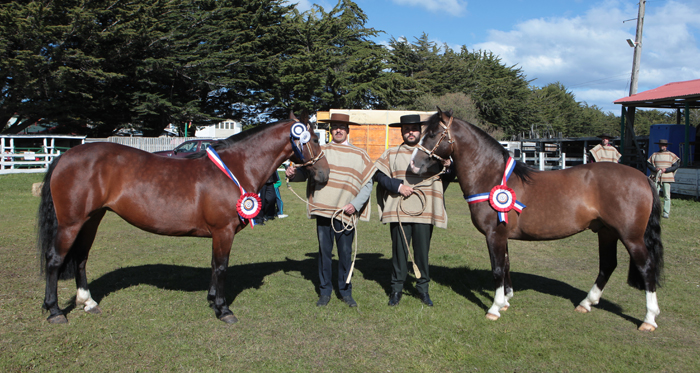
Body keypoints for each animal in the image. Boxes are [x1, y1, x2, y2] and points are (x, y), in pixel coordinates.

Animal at [37, 112, 330, 322]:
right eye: (315, 139)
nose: (324, 174)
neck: (235, 167)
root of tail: (65, 156)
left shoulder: (219, 234)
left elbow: (214, 265)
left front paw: (212, 300)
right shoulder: (223, 231)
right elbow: (221, 266)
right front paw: (223, 309)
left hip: (91, 220)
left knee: (81, 259)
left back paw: (87, 302)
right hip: (71, 224)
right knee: (55, 260)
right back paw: (55, 311)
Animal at [412, 108, 664, 332]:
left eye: (433, 134)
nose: (414, 165)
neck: (492, 176)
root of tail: (643, 177)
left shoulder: (495, 234)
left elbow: (497, 268)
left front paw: (494, 308)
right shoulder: (502, 235)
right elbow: (506, 265)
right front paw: (505, 301)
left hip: (631, 237)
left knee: (646, 267)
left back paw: (649, 319)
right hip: (607, 232)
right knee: (608, 265)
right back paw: (586, 303)